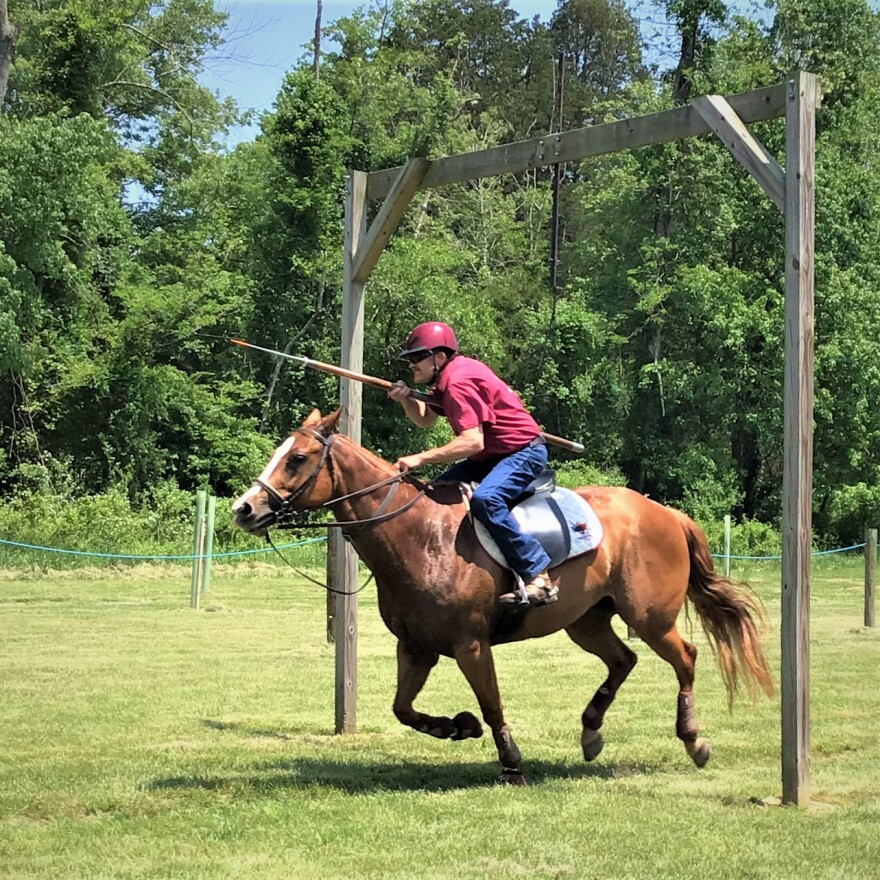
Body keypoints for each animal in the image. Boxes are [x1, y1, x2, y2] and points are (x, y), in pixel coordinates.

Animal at [230, 410, 772, 788]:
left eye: (296, 458)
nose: (244, 509)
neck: (418, 535)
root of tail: (665, 512)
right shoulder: (417, 648)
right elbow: (403, 709)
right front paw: (457, 727)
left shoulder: (471, 645)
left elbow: (491, 704)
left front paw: (510, 763)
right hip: (587, 620)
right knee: (623, 659)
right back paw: (591, 731)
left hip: (650, 616)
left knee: (686, 657)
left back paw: (693, 738)